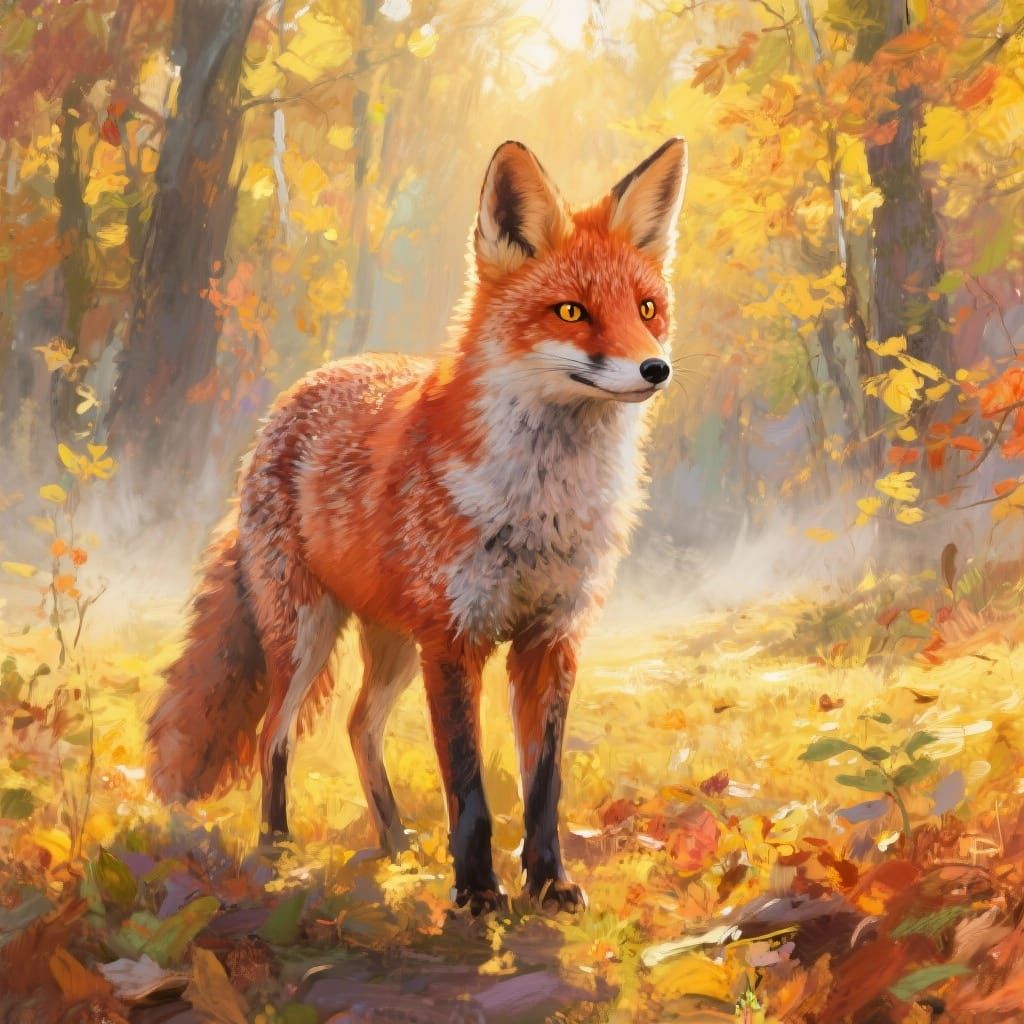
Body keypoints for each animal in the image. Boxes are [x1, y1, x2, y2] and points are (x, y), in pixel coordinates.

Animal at [148, 137, 687, 914]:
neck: (540, 507)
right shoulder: (455, 641)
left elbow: (543, 789)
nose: (656, 368)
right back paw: (276, 849)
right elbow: (468, 788)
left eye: (647, 308)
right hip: (309, 636)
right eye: (571, 311)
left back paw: (395, 844)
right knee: (275, 736)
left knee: (357, 727)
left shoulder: (550, 639)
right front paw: (478, 893)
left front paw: (548, 882)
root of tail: (291, 398)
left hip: (395, 646)